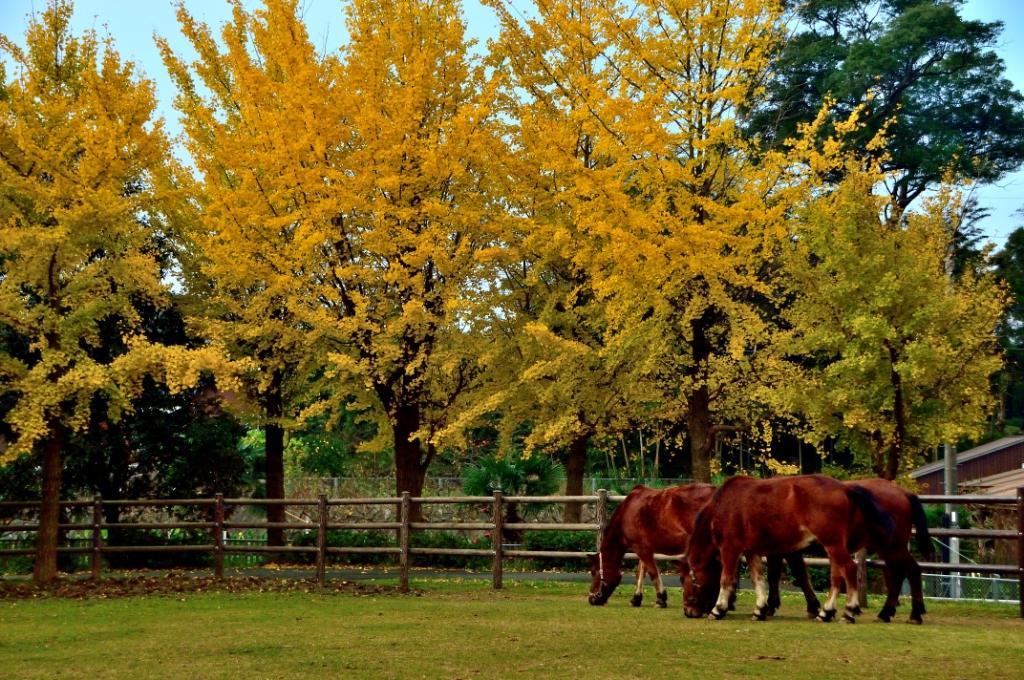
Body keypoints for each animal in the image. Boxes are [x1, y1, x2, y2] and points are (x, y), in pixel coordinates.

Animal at [682, 474, 895, 622]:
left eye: (687, 581)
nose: (688, 611)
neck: (723, 505)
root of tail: (844, 488)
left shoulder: (730, 548)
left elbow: (726, 579)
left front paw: (718, 609)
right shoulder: (752, 551)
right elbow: (758, 579)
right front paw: (760, 609)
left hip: (833, 544)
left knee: (848, 570)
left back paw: (847, 610)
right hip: (833, 546)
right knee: (837, 576)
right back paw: (827, 612)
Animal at [766, 478, 933, 624]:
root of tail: (904, 492)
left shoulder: (785, 551)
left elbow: (786, 575)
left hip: (894, 548)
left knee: (912, 571)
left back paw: (915, 614)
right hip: (886, 550)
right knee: (897, 576)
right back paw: (885, 613)